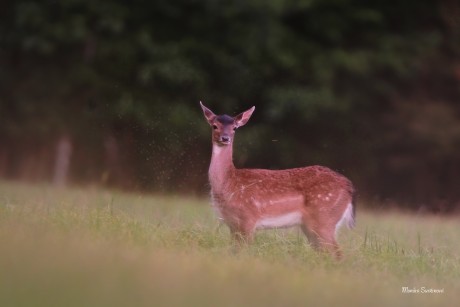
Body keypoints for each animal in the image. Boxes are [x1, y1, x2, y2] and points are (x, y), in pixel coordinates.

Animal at [200, 102, 356, 258]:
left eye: (234, 128)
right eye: (214, 126)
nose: (225, 138)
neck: (229, 184)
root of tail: (349, 187)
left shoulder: (248, 218)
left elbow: (243, 250)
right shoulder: (231, 223)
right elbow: (233, 250)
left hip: (324, 218)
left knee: (337, 253)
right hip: (311, 225)